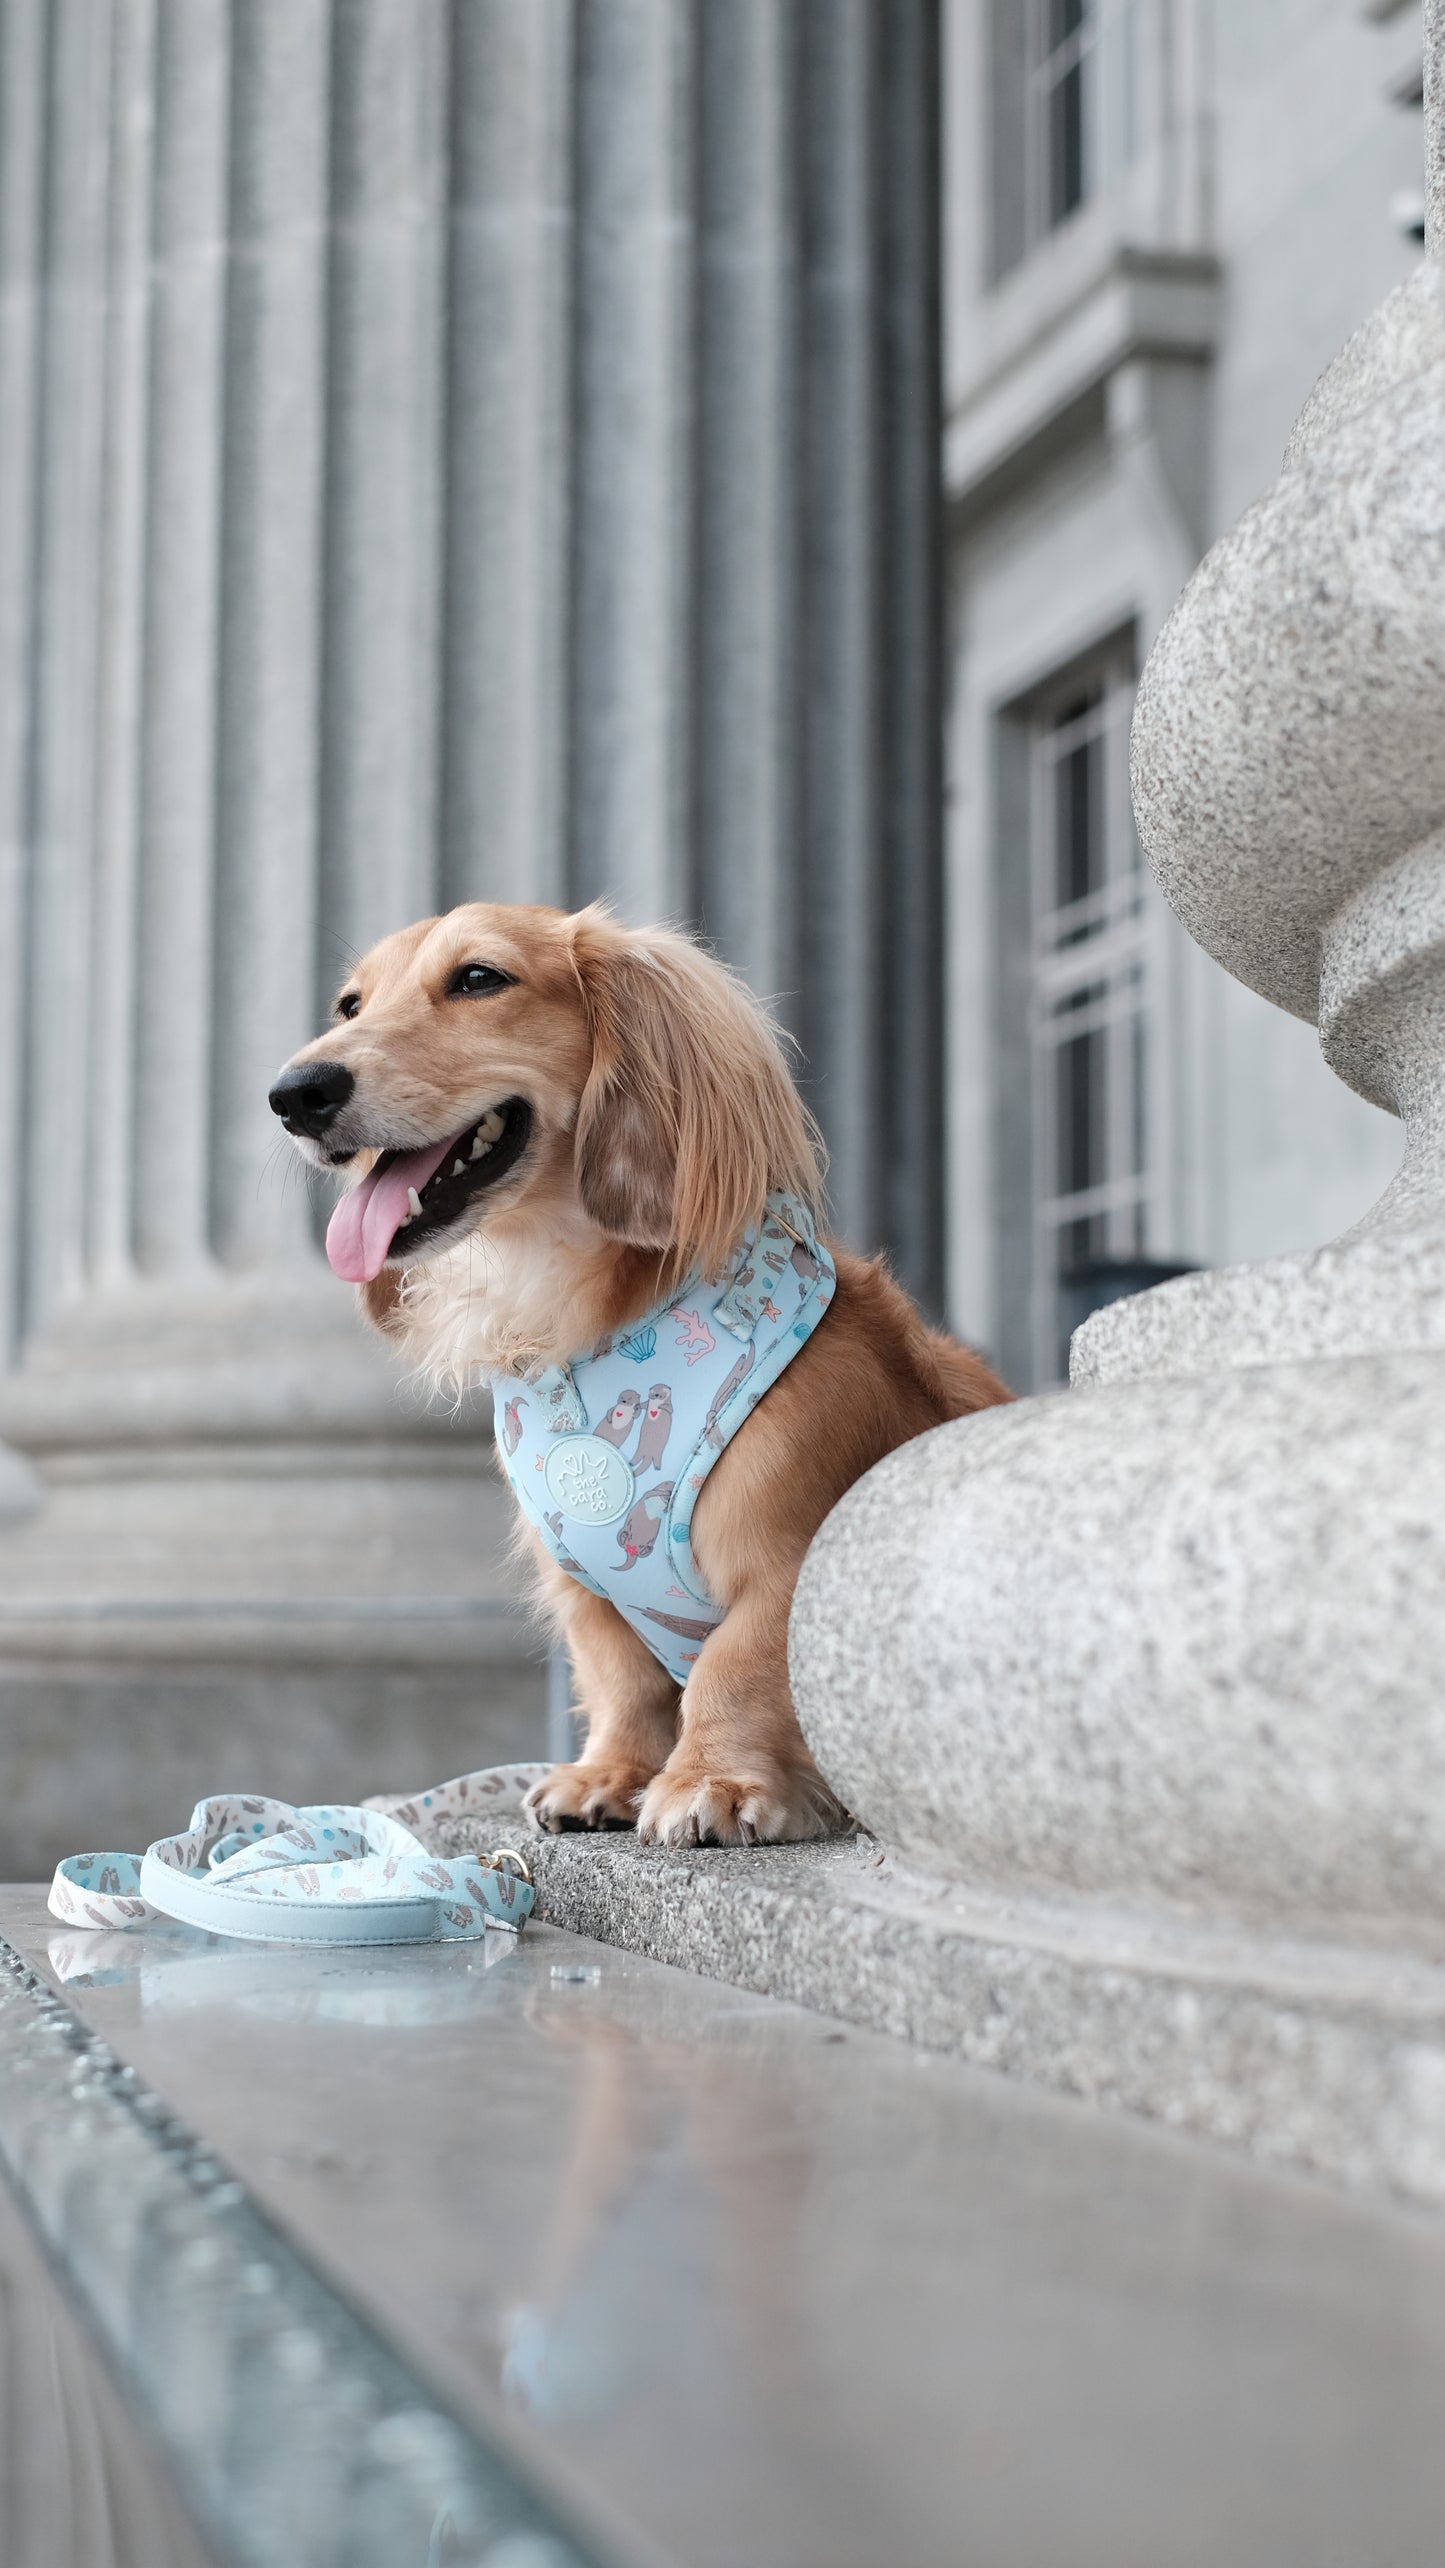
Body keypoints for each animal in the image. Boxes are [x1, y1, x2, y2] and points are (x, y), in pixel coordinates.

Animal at [268, 903, 1006, 1848]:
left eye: (478, 978)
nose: (294, 1094)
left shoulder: (786, 1564)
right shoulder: (582, 1588)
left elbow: (737, 1667)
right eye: (350, 1004)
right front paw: (610, 1775)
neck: (584, 1319)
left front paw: (715, 1783)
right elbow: (621, 1677)